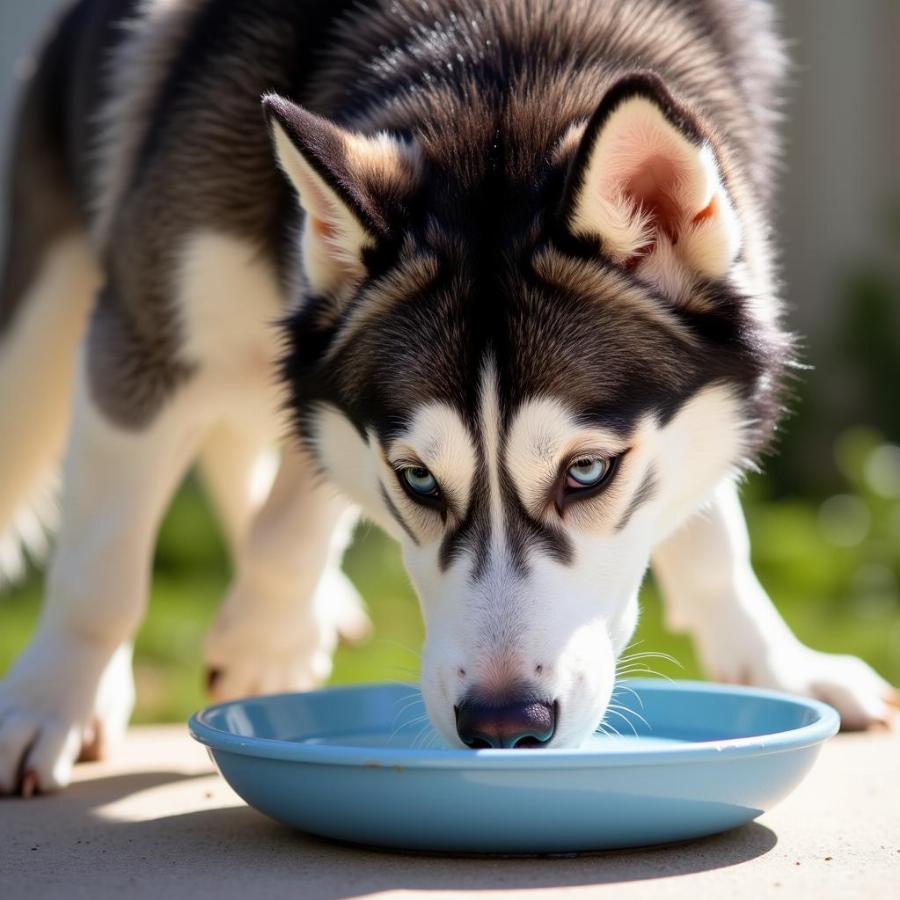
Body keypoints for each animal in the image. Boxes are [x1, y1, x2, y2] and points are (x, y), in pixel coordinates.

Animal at [0, 0, 892, 788]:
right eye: (419, 479)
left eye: (588, 472)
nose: (504, 725)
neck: (499, 51)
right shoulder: (145, 348)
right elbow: (102, 568)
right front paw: (48, 704)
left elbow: (711, 535)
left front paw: (777, 662)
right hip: (41, 336)